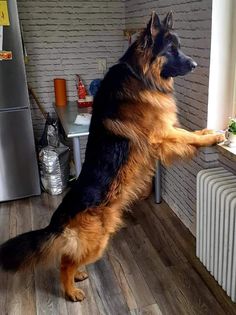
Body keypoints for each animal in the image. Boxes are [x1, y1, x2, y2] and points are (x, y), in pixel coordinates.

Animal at [0, 12, 224, 302]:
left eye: (180, 47)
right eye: (171, 49)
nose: (195, 64)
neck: (140, 74)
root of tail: (59, 218)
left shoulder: (166, 130)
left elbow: (190, 132)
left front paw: (208, 131)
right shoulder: (162, 133)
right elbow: (188, 137)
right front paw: (212, 138)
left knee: (70, 256)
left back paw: (78, 276)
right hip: (99, 239)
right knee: (65, 262)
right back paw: (71, 290)